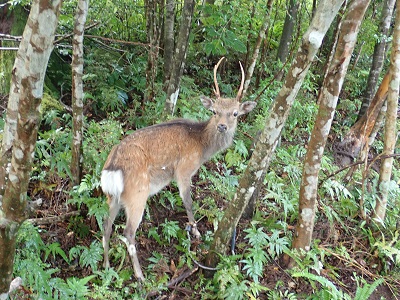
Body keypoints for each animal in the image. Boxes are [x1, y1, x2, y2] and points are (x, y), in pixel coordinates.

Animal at [100, 56, 256, 282]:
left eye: (235, 113)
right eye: (214, 111)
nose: (222, 126)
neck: (202, 147)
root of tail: (111, 168)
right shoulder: (184, 170)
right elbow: (188, 202)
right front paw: (196, 232)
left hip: (112, 196)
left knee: (106, 224)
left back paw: (105, 266)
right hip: (137, 193)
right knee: (128, 232)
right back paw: (140, 276)